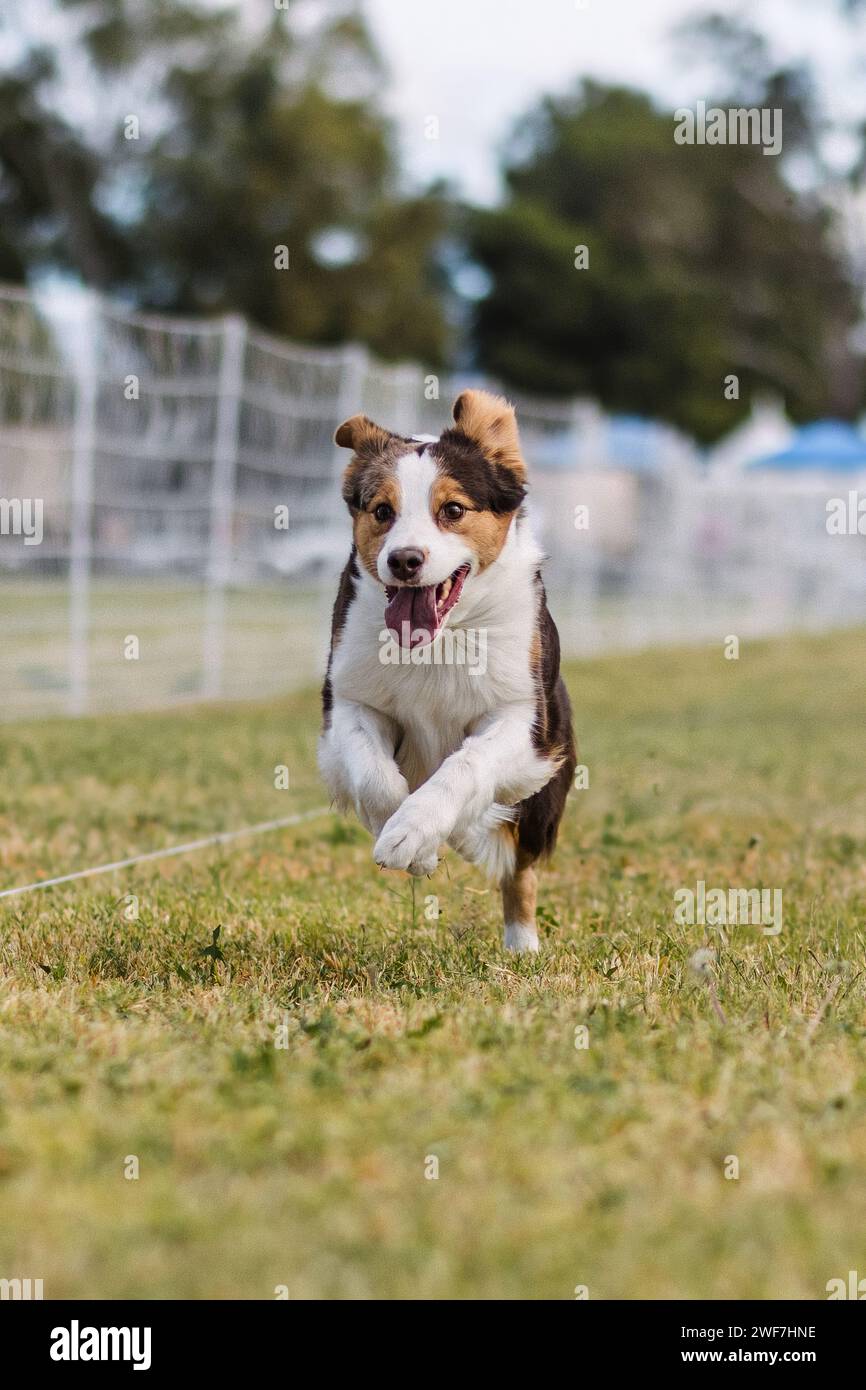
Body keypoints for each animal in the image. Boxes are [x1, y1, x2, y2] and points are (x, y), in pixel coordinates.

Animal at [318, 391, 575, 956]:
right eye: (382, 511)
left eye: (453, 510)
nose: (404, 560)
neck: (440, 640)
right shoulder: (351, 698)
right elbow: (374, 775)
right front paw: (409, 841)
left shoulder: (524, 719)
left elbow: (467, 765)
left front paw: (416, 831)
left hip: (545, 791)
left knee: (519, 866)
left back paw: (521, 943)